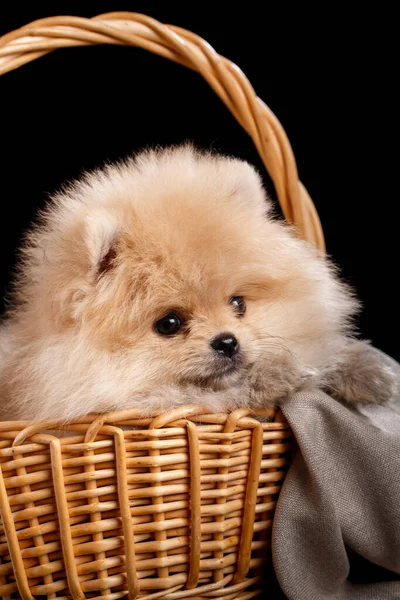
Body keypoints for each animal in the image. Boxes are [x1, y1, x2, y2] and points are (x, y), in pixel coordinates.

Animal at [0, 144, 396, 422]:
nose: (228, 342)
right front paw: (281, 375)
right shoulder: (141, 405)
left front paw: (361, 369)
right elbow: (217, 394)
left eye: (238, 303)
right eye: (169, 323)